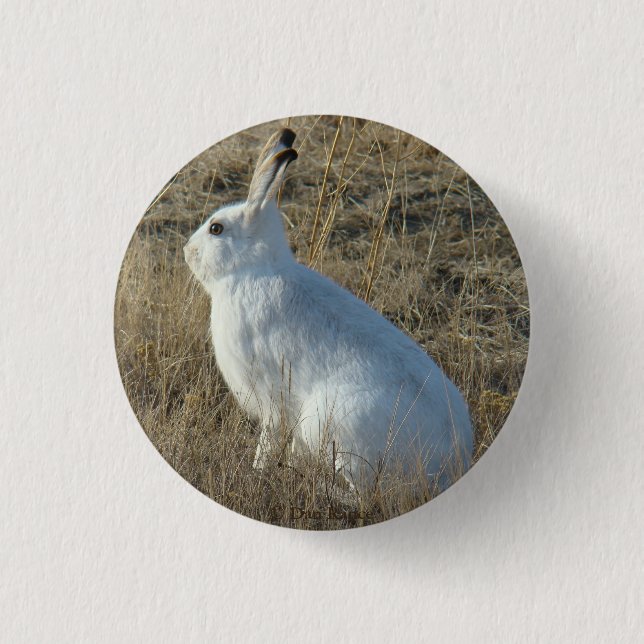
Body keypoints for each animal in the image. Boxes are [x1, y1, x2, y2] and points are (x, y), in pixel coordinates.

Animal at [184, 127, 474, 489]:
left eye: (216, 229)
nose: (186, 250)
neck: (254, 269)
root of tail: (451, 464)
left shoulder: (270, 398)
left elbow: (268, 438)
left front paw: (258, 471)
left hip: (334, 426)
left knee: (361, 494)